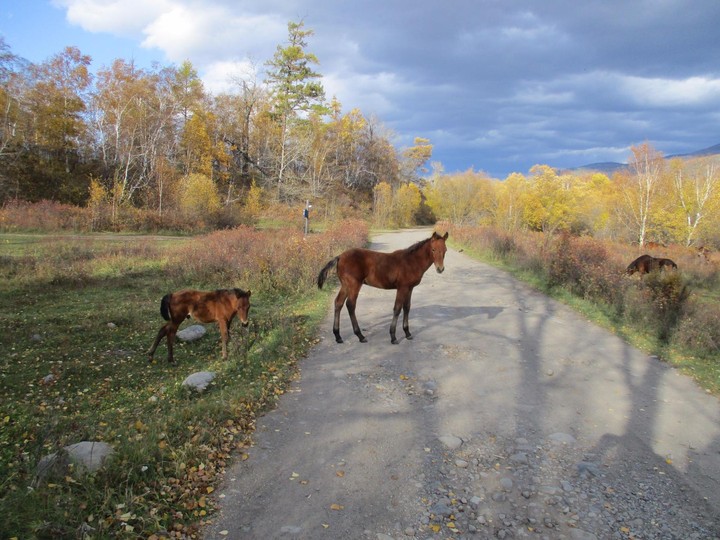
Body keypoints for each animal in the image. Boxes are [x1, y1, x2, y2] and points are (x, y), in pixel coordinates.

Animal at [317, 231, 448, 344]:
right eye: (433, 249)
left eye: (445, 250)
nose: (440, 269)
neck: (412, 262)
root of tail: (339, 256)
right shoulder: (402, 288)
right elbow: (397, 308)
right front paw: (393, 337)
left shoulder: (410, 288)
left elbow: (407, 307)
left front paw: (407, 333)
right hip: (354, 284)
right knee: (350, 305)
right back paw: (360, 336)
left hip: (345, 285)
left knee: (338, 303)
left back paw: (338, 336)